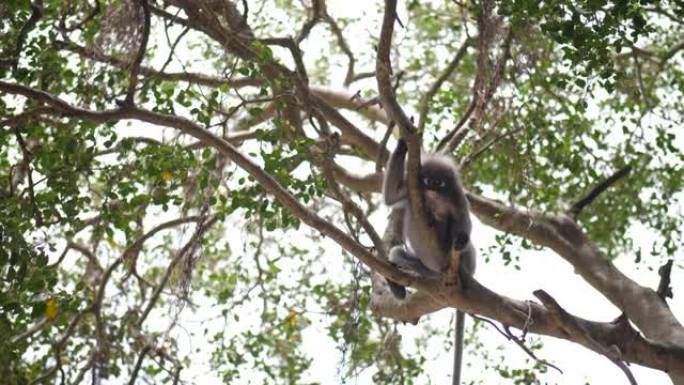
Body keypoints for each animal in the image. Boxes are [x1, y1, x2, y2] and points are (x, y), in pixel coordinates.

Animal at [380, 138, 476, 384]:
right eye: (426, 181)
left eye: (438, 182)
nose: (431, 188)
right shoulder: (409, 190)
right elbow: (391, 196)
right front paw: (403, 145)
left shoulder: (458, 197)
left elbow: (464, 221)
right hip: (425, 269)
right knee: (396, 252)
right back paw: (397, 287)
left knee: (464, 240)